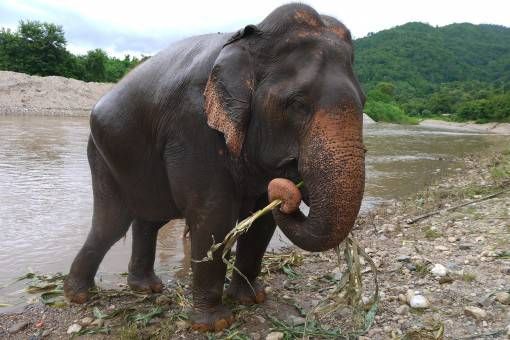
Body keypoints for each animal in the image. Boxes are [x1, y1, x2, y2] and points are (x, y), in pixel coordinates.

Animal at [63, 2, 366, 332]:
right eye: (297, 104)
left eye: (364, 102)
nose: (289, 188)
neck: (249, 41)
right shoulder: (193, 125)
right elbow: (213, 215)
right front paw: (215, 324)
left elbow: (260, 221)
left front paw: (251, 299)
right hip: (104, 154)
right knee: (112, 223)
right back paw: (79, 296)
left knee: (149, 220)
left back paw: (146, 288)